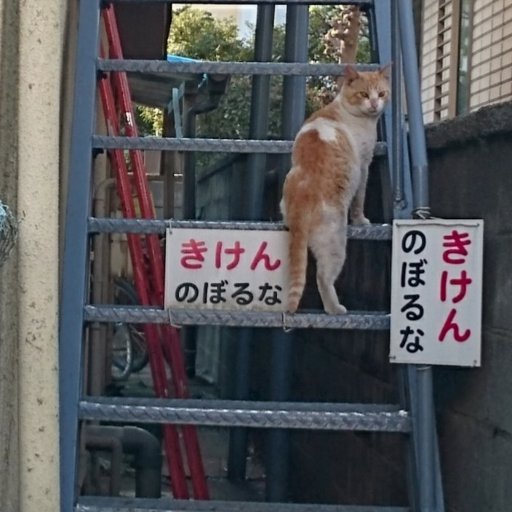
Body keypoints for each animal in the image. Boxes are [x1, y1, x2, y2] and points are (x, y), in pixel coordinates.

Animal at [278, 66, 390, 314]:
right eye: (364, 94)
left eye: (382, 93)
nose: (374, 104)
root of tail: (301, 192)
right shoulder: (364, 165)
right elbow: (360, 200)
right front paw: (361, 221)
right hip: (335, 244)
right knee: (323, 277)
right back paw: (335, 308)